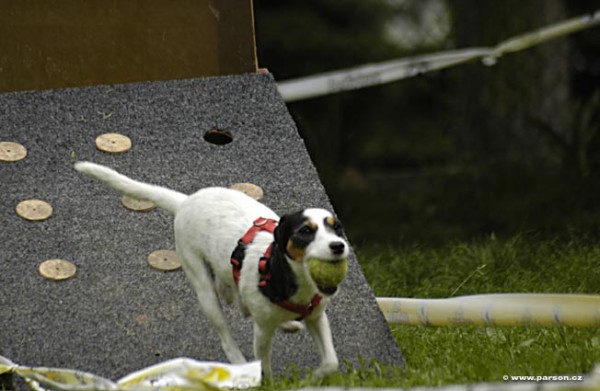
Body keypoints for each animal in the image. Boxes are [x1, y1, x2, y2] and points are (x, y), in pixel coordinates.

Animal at [72, 162, 350, 380]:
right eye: (305, 231)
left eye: (337, 228)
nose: (339, 246)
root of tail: (185, 201)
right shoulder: (262, 333)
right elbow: (264, 368)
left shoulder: (317, 317)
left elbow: (331, 361)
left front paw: (315, 376)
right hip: (204, 291)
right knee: (225, 334)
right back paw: (239, 361)